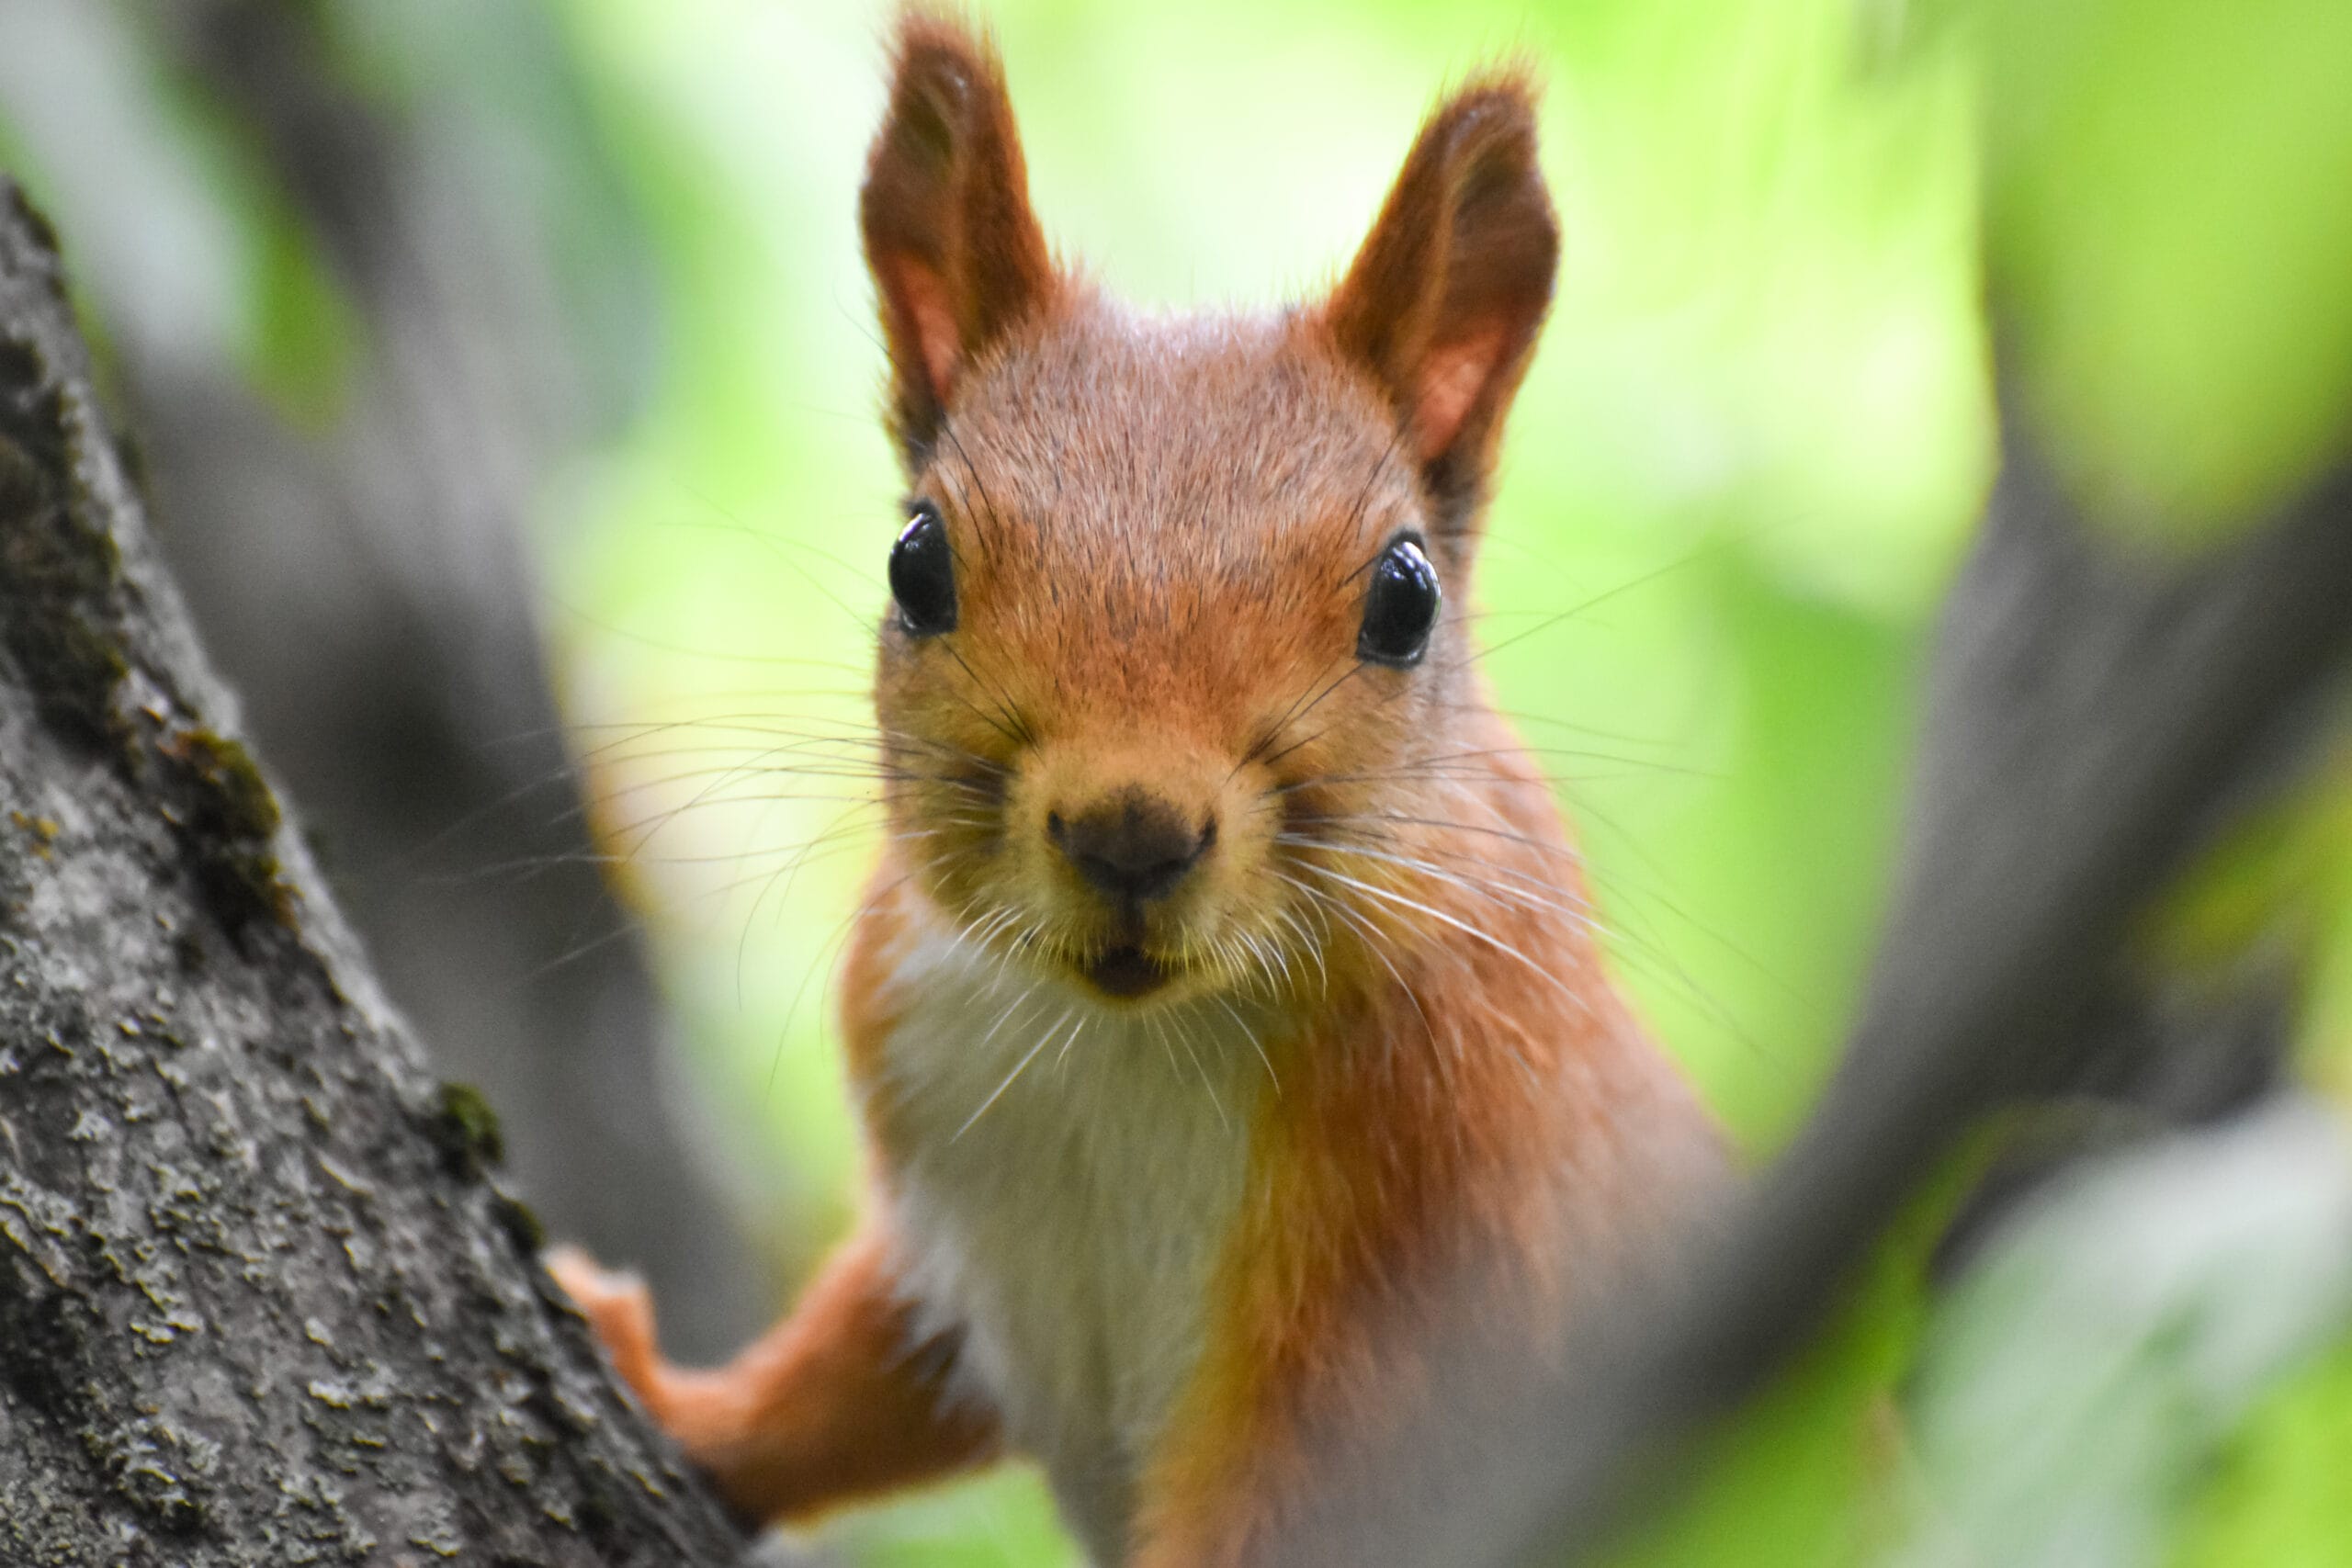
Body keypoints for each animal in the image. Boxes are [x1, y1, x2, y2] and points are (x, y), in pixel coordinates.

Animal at [549, 11, 1728, 1565]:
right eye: (915, 562)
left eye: (1405, 598)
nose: (1130, 830)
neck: (1132, 1044)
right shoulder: (950, 1212)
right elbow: (859, 1379)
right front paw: (671, 1392)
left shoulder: (1425, 1271)